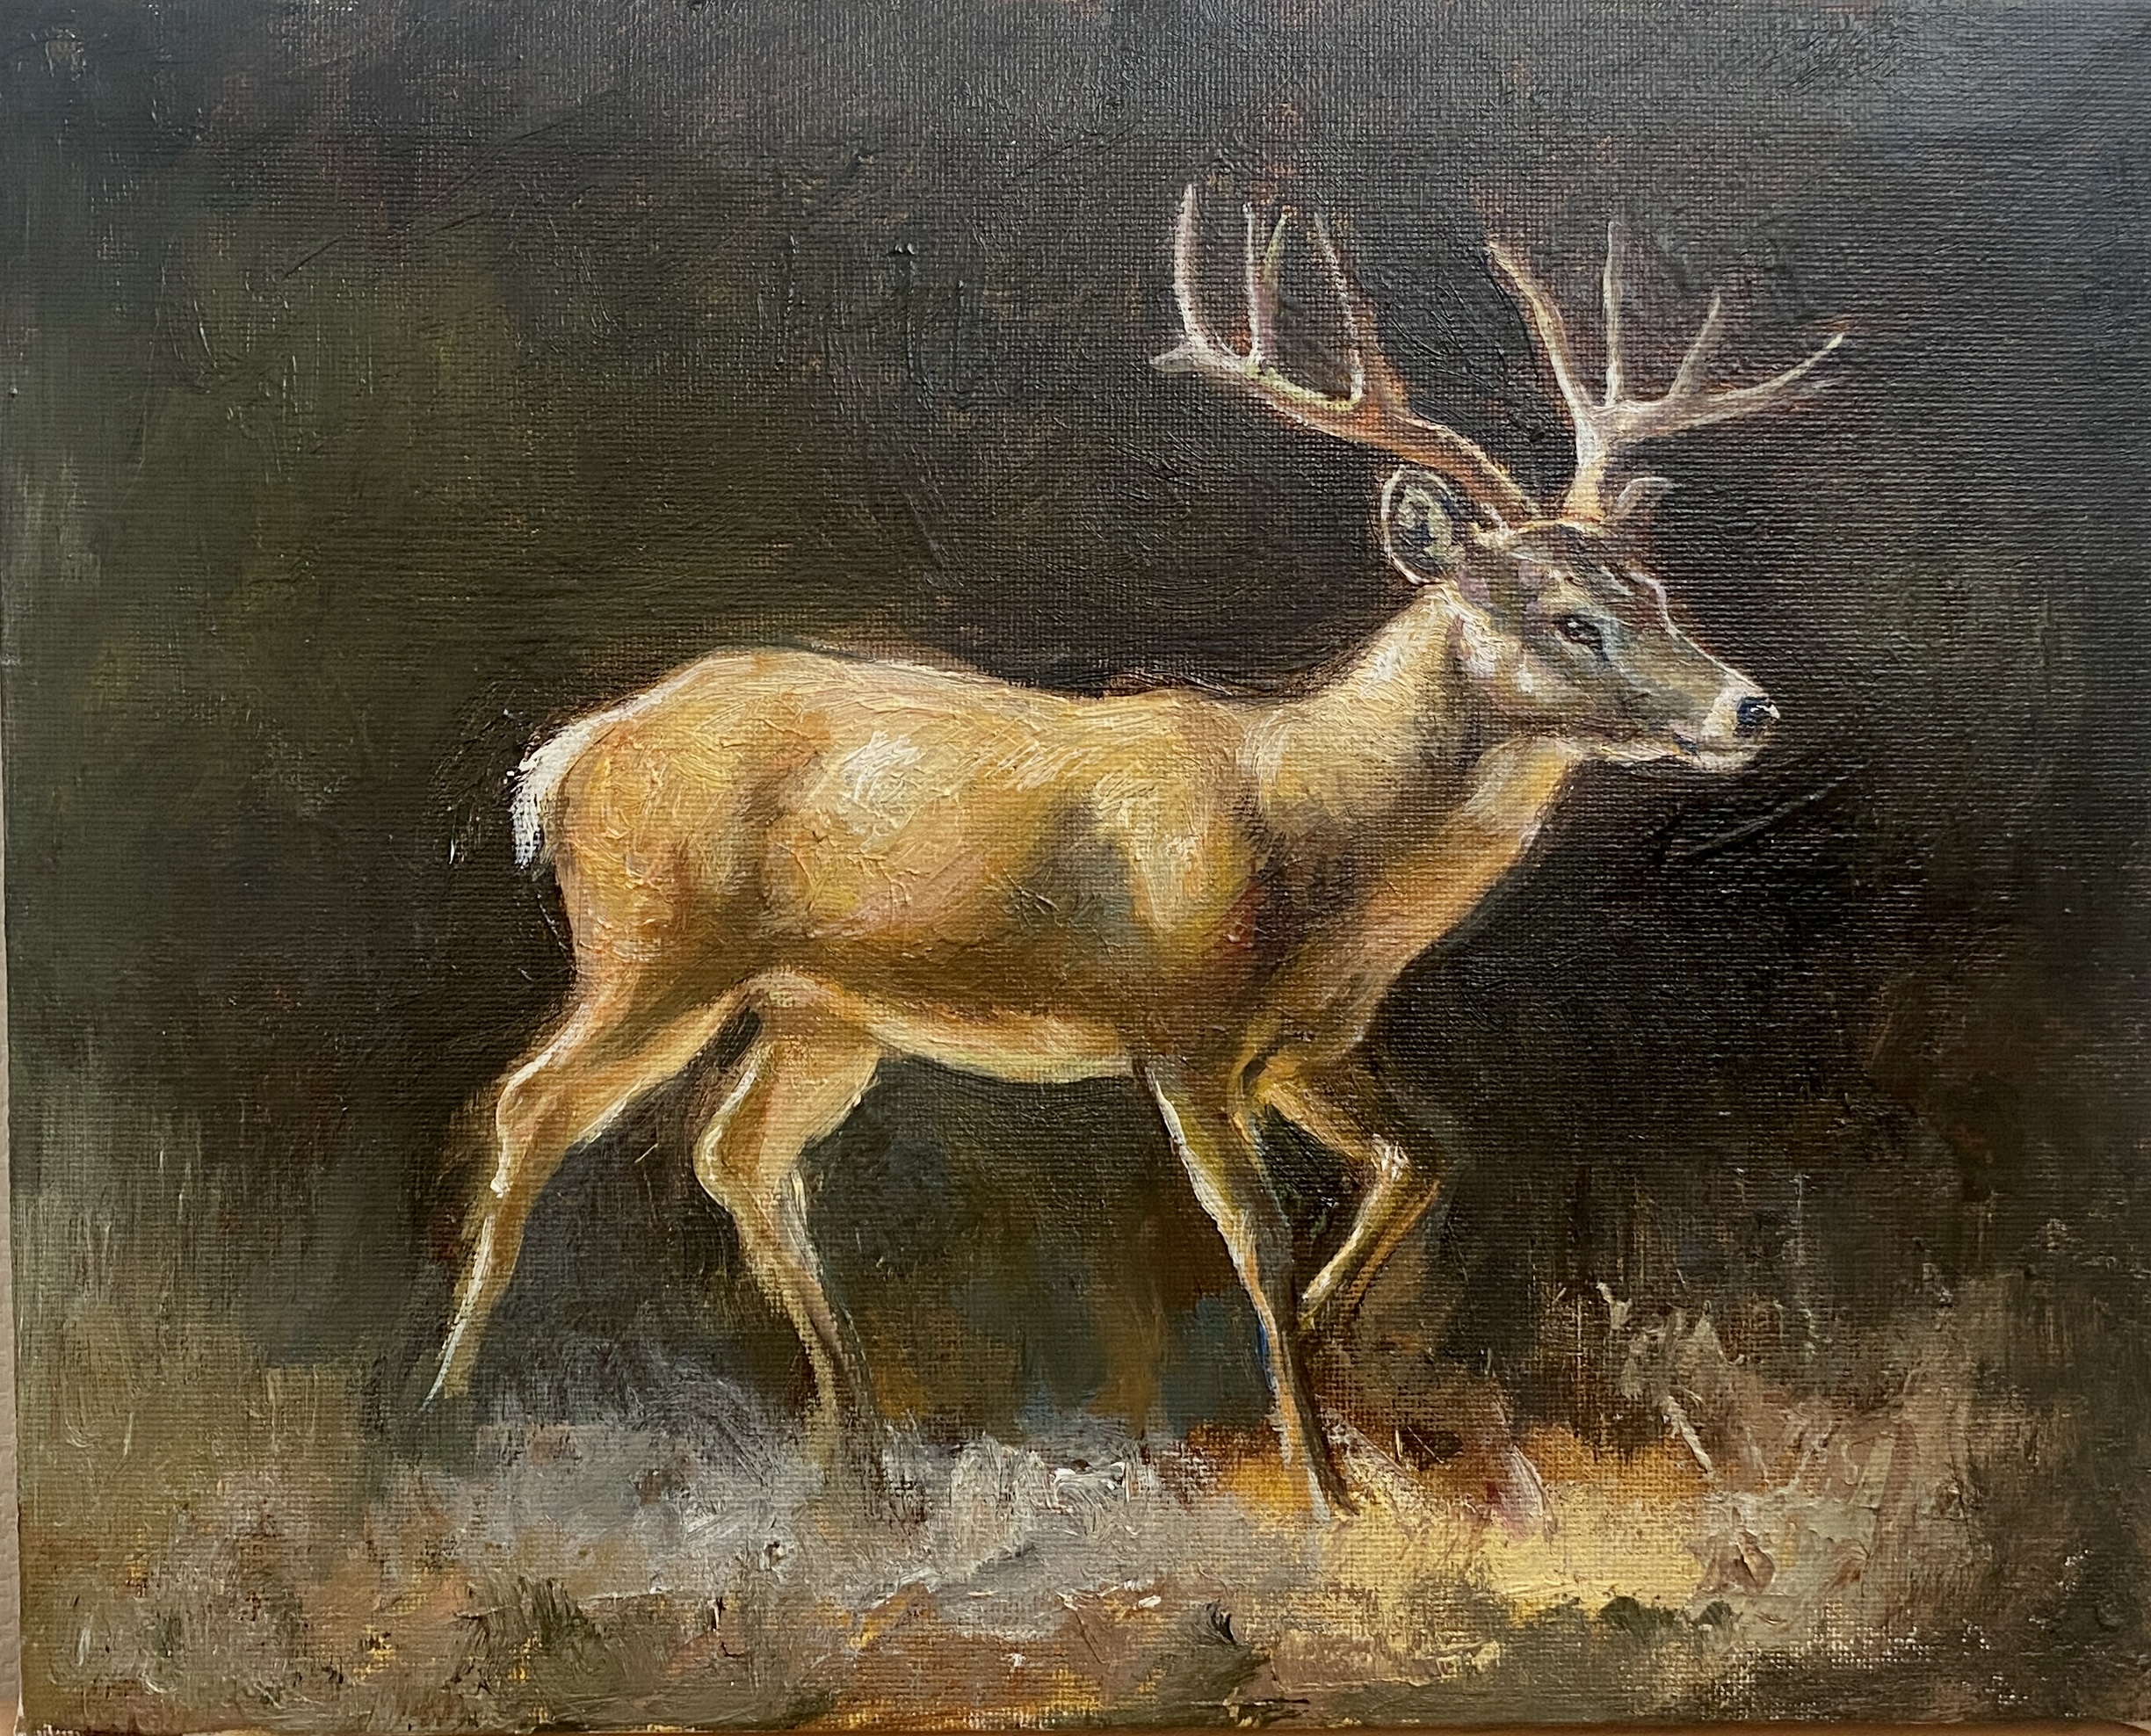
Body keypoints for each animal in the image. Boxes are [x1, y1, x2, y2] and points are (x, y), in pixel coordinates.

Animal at [428, 182, 1840, 1520]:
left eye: (1656, 591)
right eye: (1569, 617)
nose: (1746, 707)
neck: (1317, 836)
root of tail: (566, 758)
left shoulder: (1311, 1045)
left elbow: (1423, 1158)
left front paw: (1319, 1387)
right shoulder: (1183, 1031)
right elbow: (1258, 1234)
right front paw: (1320, 1482)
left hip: (821, 1009)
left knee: (739, 1154)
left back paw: (858, 1452)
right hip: (655, 944)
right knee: (531, 1103)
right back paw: (449, 1403)